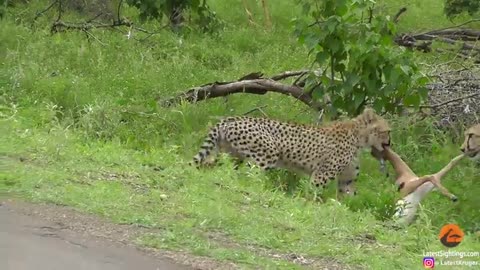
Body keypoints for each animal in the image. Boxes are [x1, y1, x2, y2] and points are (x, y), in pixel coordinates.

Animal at [191, 107, 390, 198]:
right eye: (386, 131)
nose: (390, 143)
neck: (359, 138)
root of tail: (228, 119)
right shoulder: (322, 173)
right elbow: (314, 190)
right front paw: (310, 203)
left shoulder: (347, 180)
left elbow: (347, 197)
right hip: (266, 154)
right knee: (248, 177)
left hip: (230, 156)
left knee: (213, 167)